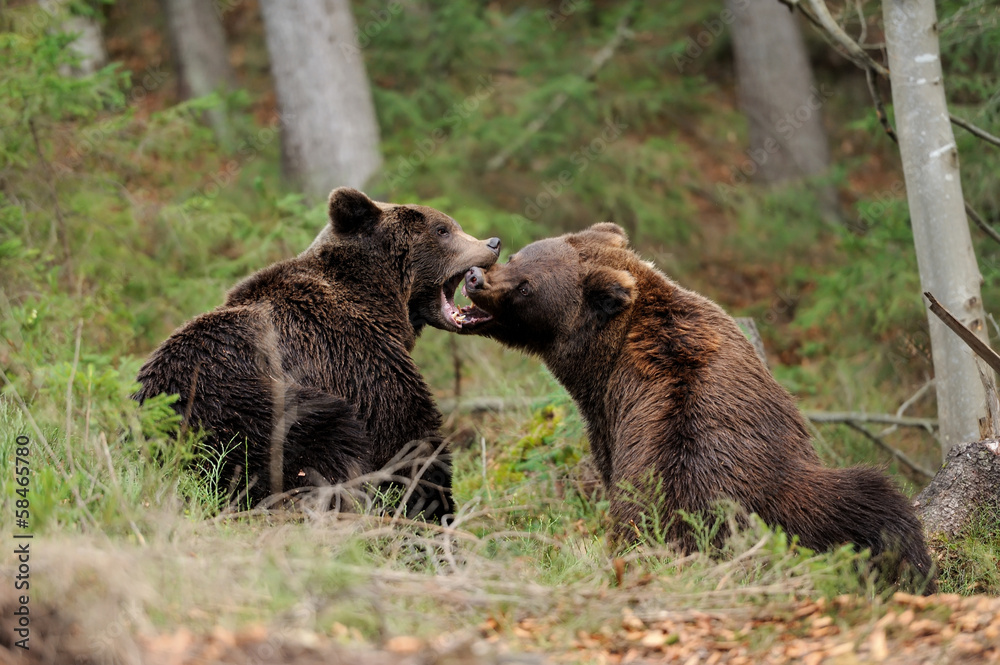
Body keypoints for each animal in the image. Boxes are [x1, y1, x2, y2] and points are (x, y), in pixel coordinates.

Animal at [135, 187, 501, 520]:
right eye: (442, 229)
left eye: (451, 225)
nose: (493, 243)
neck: (380, 300)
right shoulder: (354, 358)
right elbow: (406, 438)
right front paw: (432, 511)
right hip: (244, 405)